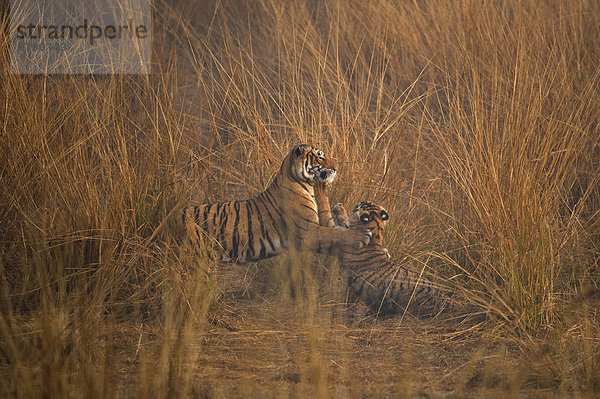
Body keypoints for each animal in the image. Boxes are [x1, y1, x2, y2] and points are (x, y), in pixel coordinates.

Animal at [180, 145, 372, 266]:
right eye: (320, 156)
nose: (335, 168)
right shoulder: (308, 232)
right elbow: (336, 233)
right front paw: (362, 235)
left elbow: (336, 229)